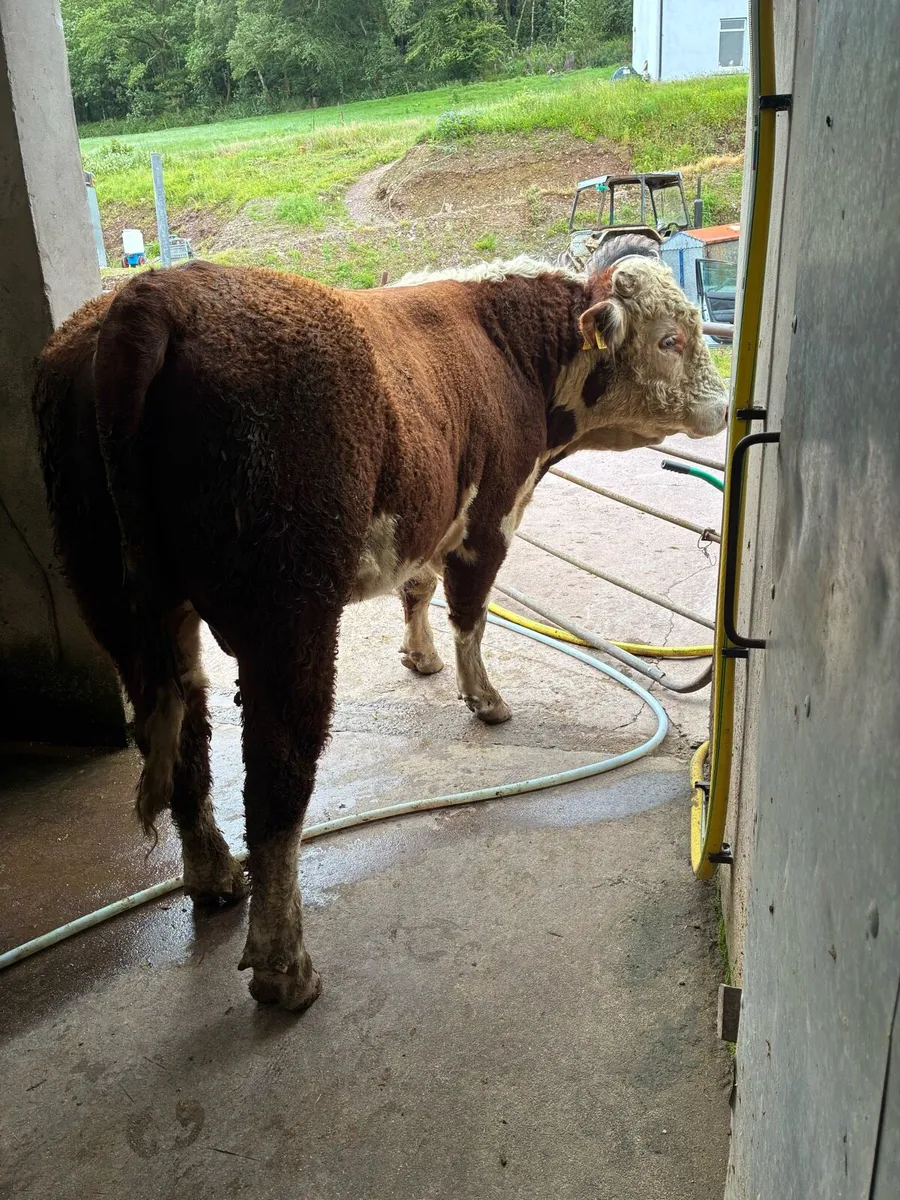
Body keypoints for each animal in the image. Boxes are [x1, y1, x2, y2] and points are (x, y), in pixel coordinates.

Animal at [33, 253, 727, 1011]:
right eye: (670, 339)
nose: (724, 407)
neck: (509, 349)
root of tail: (155, 291)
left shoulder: (430, 513)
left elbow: (418, 587)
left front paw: (419, 657)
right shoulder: (490, 516)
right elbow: (470, 612)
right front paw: (485, 699)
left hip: (116, 599)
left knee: (184, 730)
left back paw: (215, 877)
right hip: (290, 614)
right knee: (277, 773)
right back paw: (285, 966)